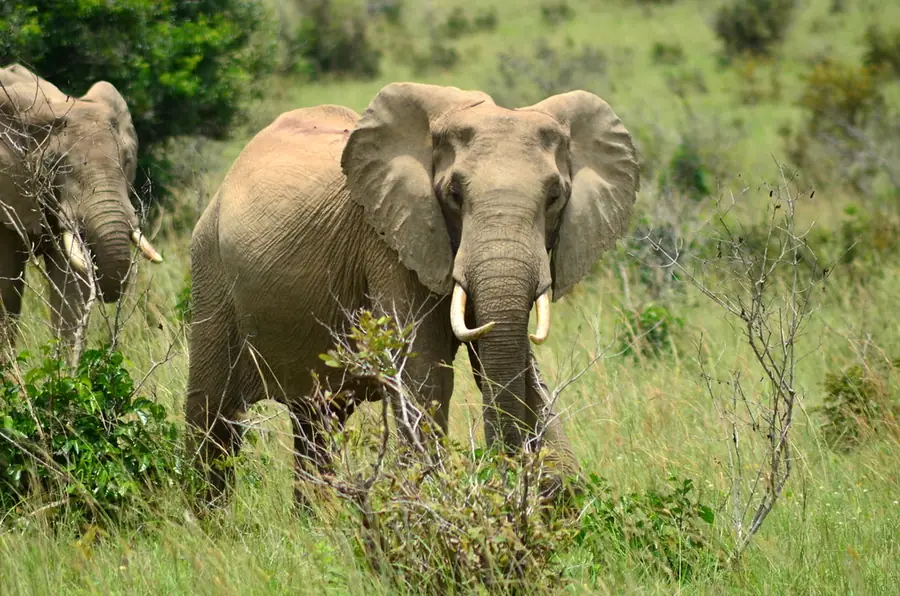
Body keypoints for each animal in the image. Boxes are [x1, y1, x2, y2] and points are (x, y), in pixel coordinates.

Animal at [185, 82, 639, 504]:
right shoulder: (388, 240)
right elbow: (424, 376)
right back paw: (202, 521)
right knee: (213, 417)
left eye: (555, 197)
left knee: (315, 423)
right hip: (210, 270)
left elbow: (498, 359)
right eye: (454, 195)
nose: (508, 472)